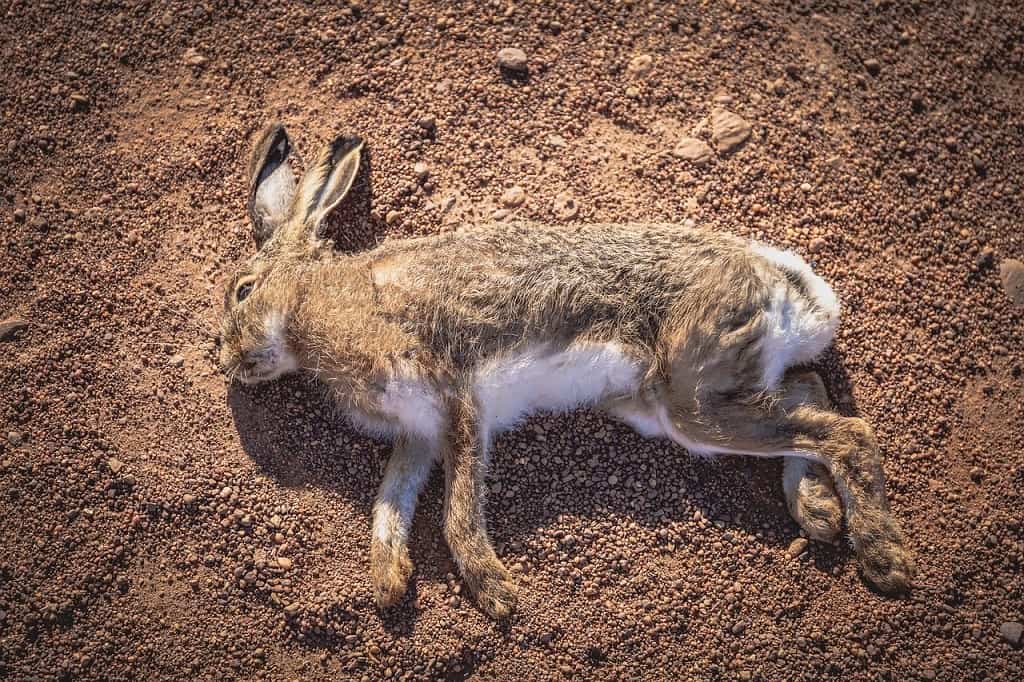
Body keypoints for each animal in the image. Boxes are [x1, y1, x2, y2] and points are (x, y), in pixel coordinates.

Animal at [218, 123, 914, 619]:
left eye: (242, 292)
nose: (227, 361)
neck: (319, 305)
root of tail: (788, 283)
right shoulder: (416, 433)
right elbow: (390, 503)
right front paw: (389, 583)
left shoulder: (456, 398)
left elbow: (456, 512)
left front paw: (496, 593)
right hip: (679, 403)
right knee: (809, 391)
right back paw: (817, 508)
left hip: (693, 396)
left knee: (848, 433)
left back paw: (885, 560)